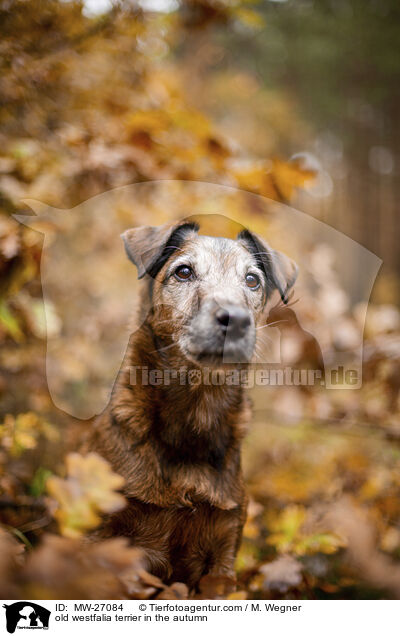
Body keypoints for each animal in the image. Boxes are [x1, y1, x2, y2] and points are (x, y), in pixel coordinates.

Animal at [90, 219, 296, 592]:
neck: (196, 407)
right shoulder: (108, 539)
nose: (236, 319)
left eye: (252, 279)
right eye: (183, 271)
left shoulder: (223, 553)